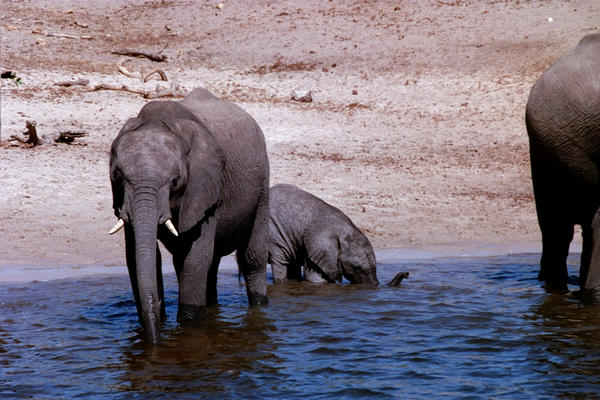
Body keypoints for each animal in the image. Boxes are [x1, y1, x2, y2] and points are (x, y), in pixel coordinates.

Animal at [109, 88, 270, 344]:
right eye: (117, 176)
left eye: (175, 182)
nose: (154, 343)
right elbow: (138, 256)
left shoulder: (204, 187)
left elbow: (194, 258)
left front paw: (189, 328)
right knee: (209, 263)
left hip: (262, 182)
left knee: (251, 258)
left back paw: (259, 306)